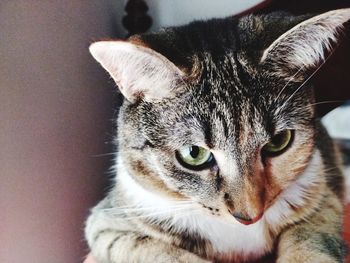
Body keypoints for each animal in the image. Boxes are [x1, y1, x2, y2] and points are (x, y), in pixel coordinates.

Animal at [85, 8, 350, 263]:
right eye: (194, 154)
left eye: (278, 142)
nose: (249, 216)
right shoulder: (108, 225)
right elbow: (160, 252)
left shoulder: (323, 198)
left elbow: (310, 242)